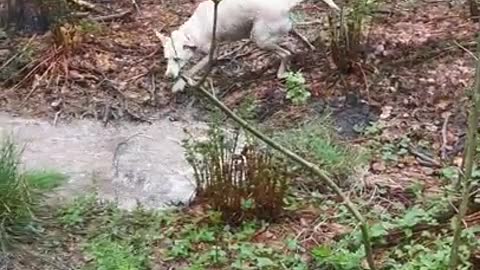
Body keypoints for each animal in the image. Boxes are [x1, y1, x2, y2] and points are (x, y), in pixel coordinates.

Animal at [156, 0, 340, 92]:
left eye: (177, 59)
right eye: (166, 59)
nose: (167, 76)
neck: (194, 29)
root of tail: (285, 5)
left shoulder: (212, 52)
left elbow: (191, 70)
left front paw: (179, 84)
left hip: (259, 38)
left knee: (286, 53)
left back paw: (281, 72)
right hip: (281, 29)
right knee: (296, 35)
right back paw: (309, 47)